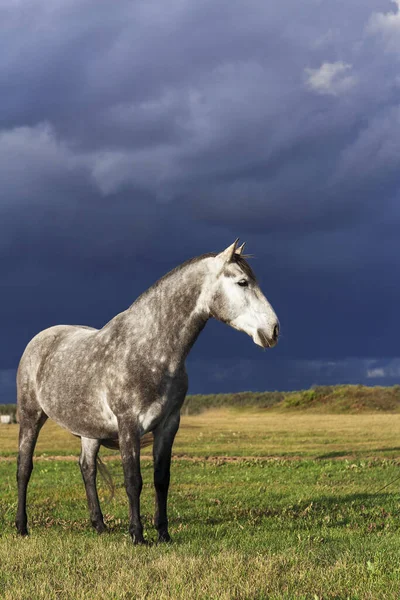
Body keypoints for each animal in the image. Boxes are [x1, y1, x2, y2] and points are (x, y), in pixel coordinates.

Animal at [14, 239, 278, 544]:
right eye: (242, 282)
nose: (273, 330)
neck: (151, 350)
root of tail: (39, 340)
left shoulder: (168, 424)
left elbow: (161, 479)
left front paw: (163, 533)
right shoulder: (129, 425)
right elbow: (133, 481)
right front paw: (137, 535)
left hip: (89, 430)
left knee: (87, 469)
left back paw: (99, 525)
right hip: (31, 417)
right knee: (24, 469)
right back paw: (21, 527)